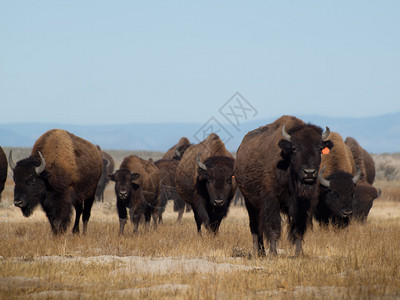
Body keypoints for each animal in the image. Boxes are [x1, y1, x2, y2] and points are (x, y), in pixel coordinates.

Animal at [234, 115, 332, 255]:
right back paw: (258, 252)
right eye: (295, 148)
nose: (309, 173)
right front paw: (273, 253)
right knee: (255, 227)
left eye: (319, 149)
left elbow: (298, 229)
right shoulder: (272, 200)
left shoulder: (303, 205)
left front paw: (298, 253)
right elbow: (274, 228)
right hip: (249, 202)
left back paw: (262, 252)